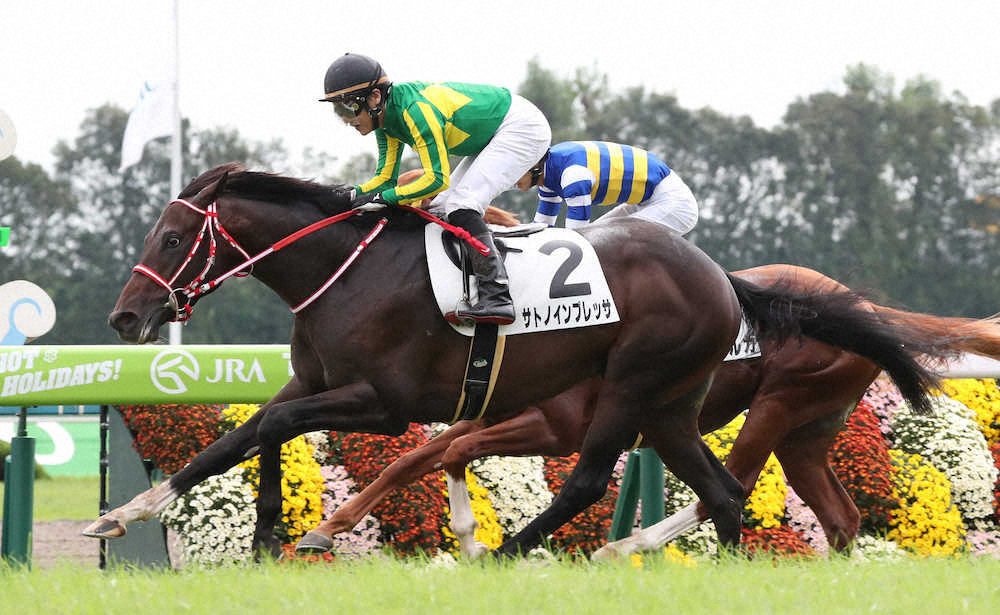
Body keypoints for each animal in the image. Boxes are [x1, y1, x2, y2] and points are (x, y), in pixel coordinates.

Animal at [293, 262, 1000, 558]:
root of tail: (860, 305)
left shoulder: (555, 427)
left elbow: (450, 452)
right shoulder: (492, 412)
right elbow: (414, 459)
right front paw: (329, 527)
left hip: (779, 403)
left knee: (737, 484)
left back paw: (626, 546)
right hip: (809, 429)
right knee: (838, 514)